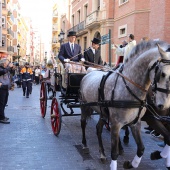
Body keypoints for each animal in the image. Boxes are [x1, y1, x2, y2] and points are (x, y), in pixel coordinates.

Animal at [79, 40, 170, 169]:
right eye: (162, 74)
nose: (164, 105)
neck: (128, 87)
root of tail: (88, 72)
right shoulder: (117, 124)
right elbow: (114, 153)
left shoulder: (135, 123)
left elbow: (141, 149)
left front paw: (131, 163)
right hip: (84, 106)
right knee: (83, 123)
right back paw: (85, 144)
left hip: (103, 112)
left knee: (98, 128)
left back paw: (102, 153)